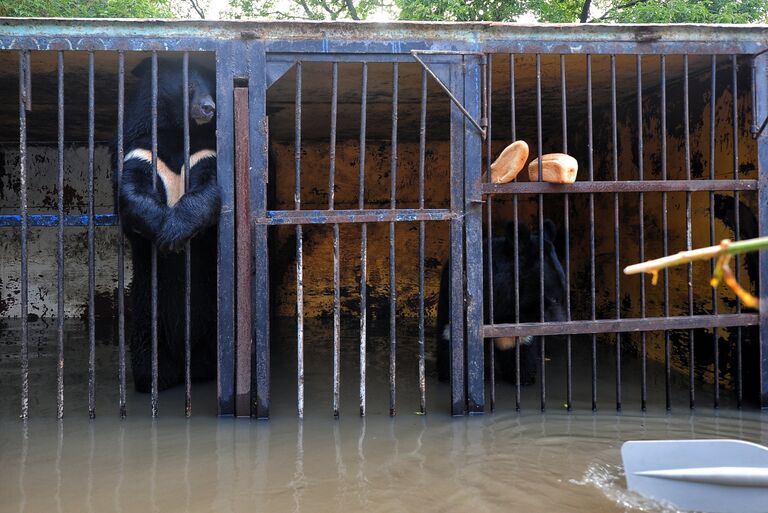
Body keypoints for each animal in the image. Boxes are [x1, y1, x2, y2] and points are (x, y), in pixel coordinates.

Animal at [115, 58, 222, 390]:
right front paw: (164, 234)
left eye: (213, 87)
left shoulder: (205, 151)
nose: (208, 108)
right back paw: (152, 378)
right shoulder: (140, 149)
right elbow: (132, 190)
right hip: (146, 311)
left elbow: (209, 187)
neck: (176, 133)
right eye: (189, 85)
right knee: (146, 347)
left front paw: (173, 233)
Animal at [438, 220, 564, 384]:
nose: (561, 329)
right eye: (553, 298)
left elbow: (517, 343)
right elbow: (451, 337)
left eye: (563, 295)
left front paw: (523, 376)